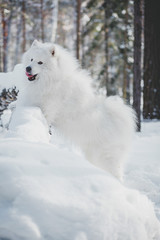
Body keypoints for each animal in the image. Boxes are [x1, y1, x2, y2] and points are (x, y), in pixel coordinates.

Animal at [19, 39, 136, 180]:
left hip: (107, 155)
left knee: (117, 173)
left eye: (40, 62)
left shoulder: (47, 108)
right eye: (31, 59)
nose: (28, 68)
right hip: (93, 153)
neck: (52, 80)